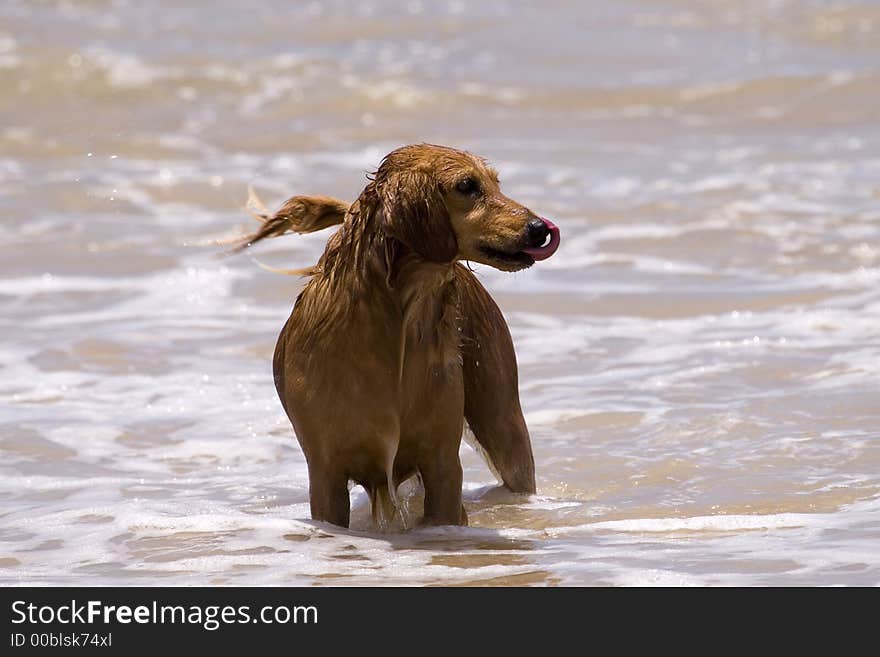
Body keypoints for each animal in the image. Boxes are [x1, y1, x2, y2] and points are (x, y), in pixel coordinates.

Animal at [237, 145, 560, 528]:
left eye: (496, 183)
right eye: (467, 185)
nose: (539, 228)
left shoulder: (442, 463)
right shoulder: (326, 471)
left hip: (502, 422)